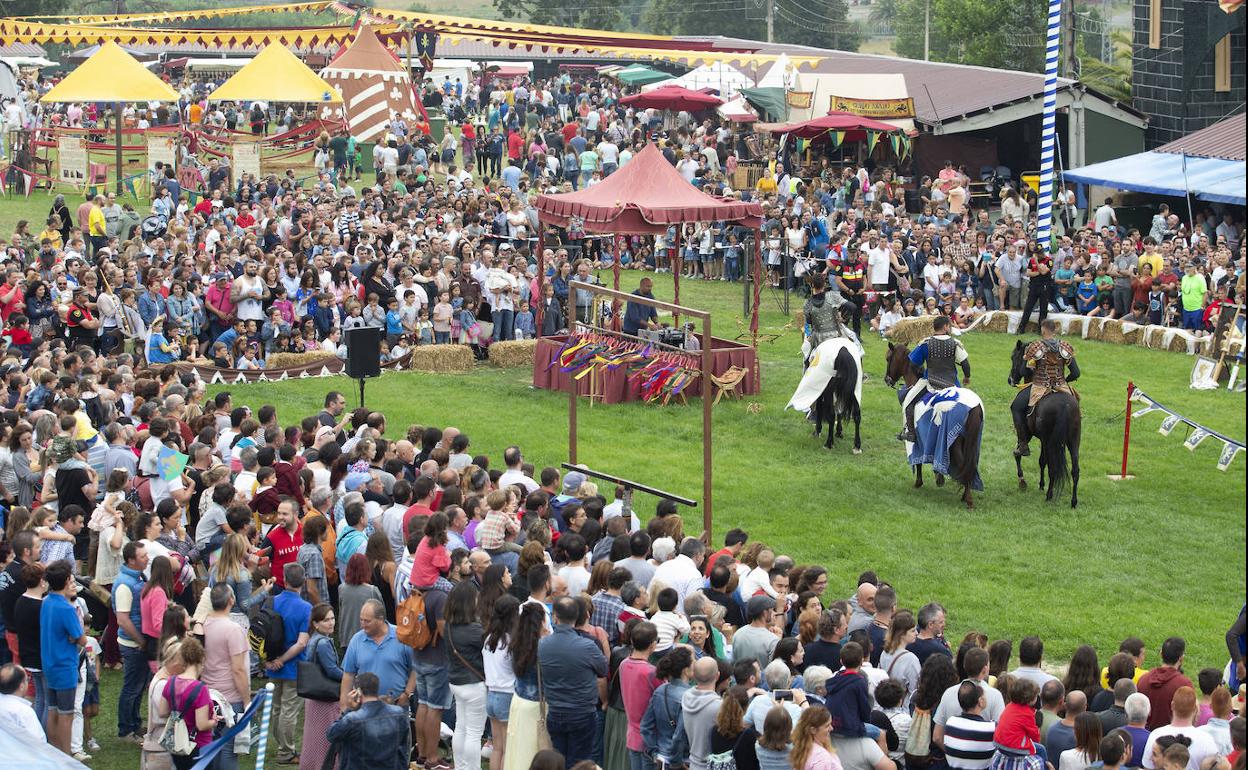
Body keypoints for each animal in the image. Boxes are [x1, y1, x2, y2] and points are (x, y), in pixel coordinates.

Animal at [888, 339, 983, 506]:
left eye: (888, 358)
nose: (887, 379)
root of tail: (974, 406)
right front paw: (938, 477)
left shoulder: (917, 441)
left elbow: (918, 460)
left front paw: (918, 482)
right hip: (971, 442)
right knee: (970, 466)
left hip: (955, 443)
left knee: (963, 465)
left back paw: (968, 499)